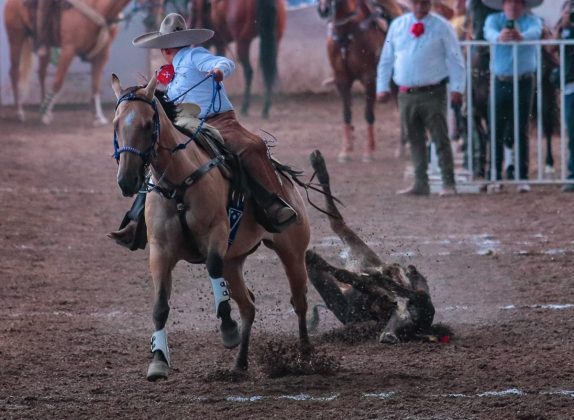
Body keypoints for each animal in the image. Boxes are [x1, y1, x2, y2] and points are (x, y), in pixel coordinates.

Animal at [3, 0, 134, 124]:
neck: (99, 7)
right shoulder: (68, 50)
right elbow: (58, 82)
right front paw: (45, 114)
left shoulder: (103, 54)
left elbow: (95, 87)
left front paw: (98, 117)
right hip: (16, 37)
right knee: (14, 72)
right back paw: (20, 112)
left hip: (46, 46)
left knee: (42, 73)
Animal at [111, 73, 312, 380]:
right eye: (116, 124)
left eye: (147, 124)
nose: (127, 180)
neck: (179, 184)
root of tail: (283, 178)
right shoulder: (160, 252)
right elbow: (160, 307)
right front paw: (158, 360)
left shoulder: (215, 236)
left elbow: (213, 270)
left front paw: (228, 330)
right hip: (235, 261)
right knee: (249, 306)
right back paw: (239, 365)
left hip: (292, 251)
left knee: (299, 301)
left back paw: (305, 357)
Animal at [320, 0, 404, 162]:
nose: (323, 10)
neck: (347, 31)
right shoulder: (342, 79)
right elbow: (346, 113)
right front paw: (346, 150)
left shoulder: (369, 78)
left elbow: (368, 114)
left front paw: (369, 151)